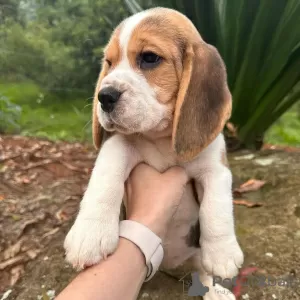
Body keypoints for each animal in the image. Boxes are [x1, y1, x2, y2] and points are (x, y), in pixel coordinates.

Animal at [63, 7, 244, 300]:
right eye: (109, 62)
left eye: (149, 58)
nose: (104, 96)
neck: (162, 141)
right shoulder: (119, 144)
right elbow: (105, 176)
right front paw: (90, 233)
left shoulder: (215, 167)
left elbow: (216, 208)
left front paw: (223, 254)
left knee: (202, 269)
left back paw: (215, 289)